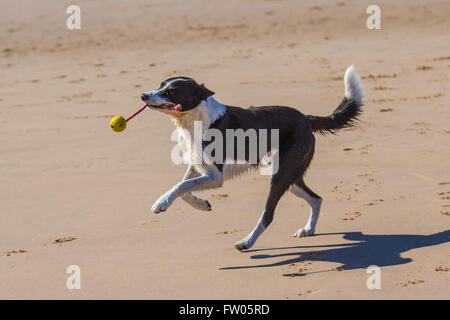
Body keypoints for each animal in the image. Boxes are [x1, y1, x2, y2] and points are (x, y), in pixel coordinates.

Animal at [141, 65, 362, 250]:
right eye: (160, 85)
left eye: (170, 91)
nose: (143, 95)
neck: (195, 118)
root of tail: (307, 119)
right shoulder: (199, 166)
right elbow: (184, 188)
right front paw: (202, 205)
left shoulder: (216, 176)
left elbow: (181, 186)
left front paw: (161, 203)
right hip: (290, 176)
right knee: (316, 198)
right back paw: (308, 229)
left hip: (281, 176)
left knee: (268, 214)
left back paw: (247, 242)